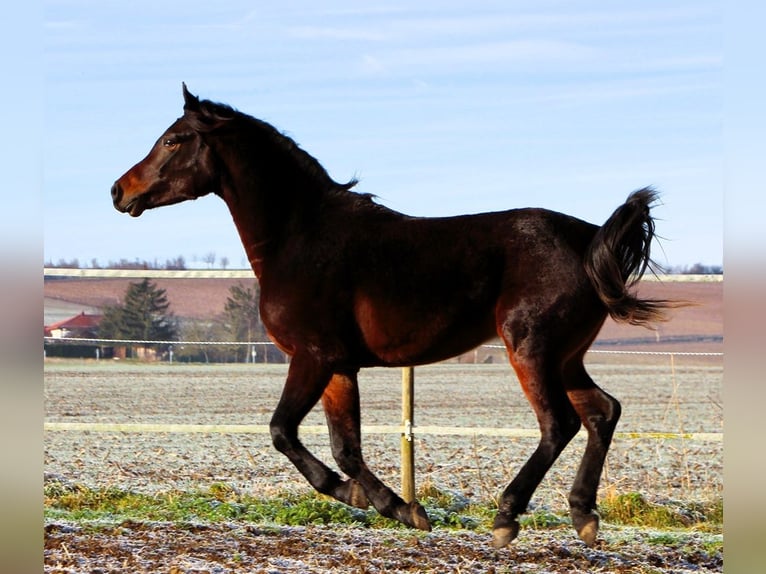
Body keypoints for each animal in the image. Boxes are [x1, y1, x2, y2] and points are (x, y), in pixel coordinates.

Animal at [111, 84, 676, 548]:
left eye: (173, 139)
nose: (119, 191)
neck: (300, 237)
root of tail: (589, 237)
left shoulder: (312, 357)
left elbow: (283, 431)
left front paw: (374, 501)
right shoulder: (340, 366)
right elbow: (345, 447)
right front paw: (395, 507)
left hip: (531, 349)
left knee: (558, 423)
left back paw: (506, 517)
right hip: (564, 356)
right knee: (602, 412)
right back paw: (583, 515)